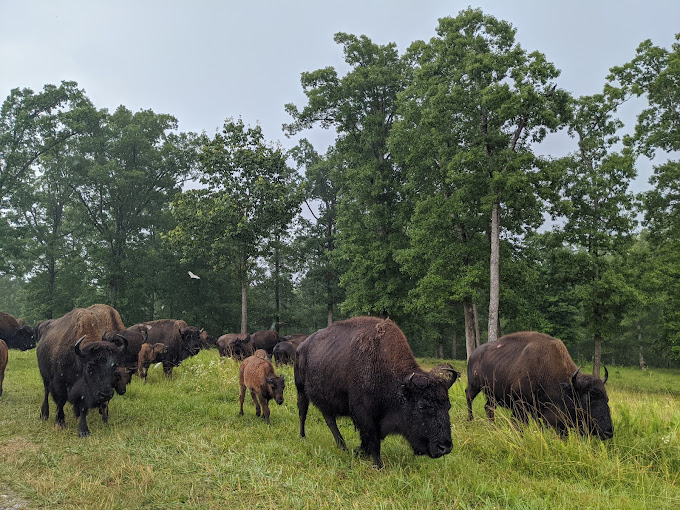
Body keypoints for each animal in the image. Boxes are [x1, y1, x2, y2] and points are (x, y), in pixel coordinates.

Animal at [294, 316, 456, 468]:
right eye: (421, 406)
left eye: (448, 406)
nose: (445, 447)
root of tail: (302, 346)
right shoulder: (364, 414)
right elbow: (372, 439)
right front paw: (378, 465)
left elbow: (370, 439)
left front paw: (359, 452)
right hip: (300, 389)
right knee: (303, 412)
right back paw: (303, 437)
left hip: (325, 401)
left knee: (330, 420)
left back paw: (342, 447)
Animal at [464, 330, 612, 438]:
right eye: (587, 401)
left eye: (606, 399)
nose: (608, 432)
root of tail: (473, 354)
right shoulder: (520, 404)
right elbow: (520, 424)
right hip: (474, 385)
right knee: (469, 397)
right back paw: (470, 421)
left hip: (492, 394)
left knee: (488, 407)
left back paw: (492, 427)